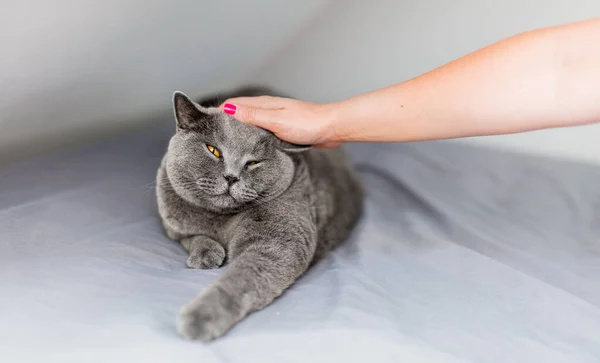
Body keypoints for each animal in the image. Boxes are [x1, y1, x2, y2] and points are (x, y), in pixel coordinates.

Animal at [156, 87, 360, 342]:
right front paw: (205, 254)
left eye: (253, 163)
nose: (231, 177)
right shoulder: (173, 224)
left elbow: (243, 277)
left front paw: (202, 316)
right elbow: (192, 237)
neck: (220, 220)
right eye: (213, 151)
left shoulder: (278, 241)